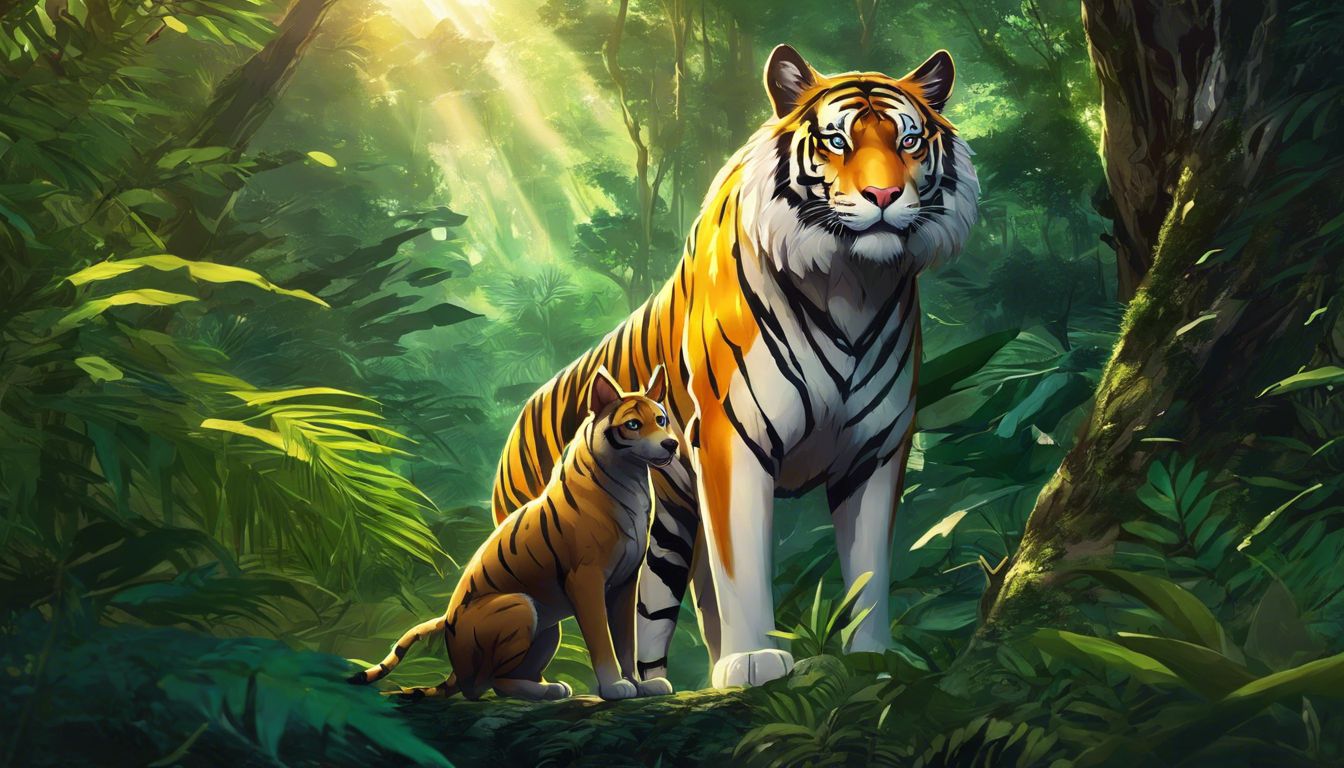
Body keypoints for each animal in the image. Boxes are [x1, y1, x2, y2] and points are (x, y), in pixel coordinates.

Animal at [350, 366, 679, 701]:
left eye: (661, 419)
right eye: (633, 424)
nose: (671, 444)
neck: (632, 479)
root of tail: (454, 666)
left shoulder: (625, 584)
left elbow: (627, 642)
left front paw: (641, 685)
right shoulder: (586, 579)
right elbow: (602, 640)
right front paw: (614, 686)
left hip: (548, 629)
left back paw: (550, 687)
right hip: (520, 605)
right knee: (488, 684)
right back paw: (548, 690)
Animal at [492, 44, 979, 688]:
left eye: (910, 141)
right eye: (837, 141)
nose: (883, 197)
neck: (852, 283)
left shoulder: (875, 450)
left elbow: (870, 565)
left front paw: (872, 655)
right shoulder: (733, 437)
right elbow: (744, 563)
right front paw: (754, 660)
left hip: (672, 524)